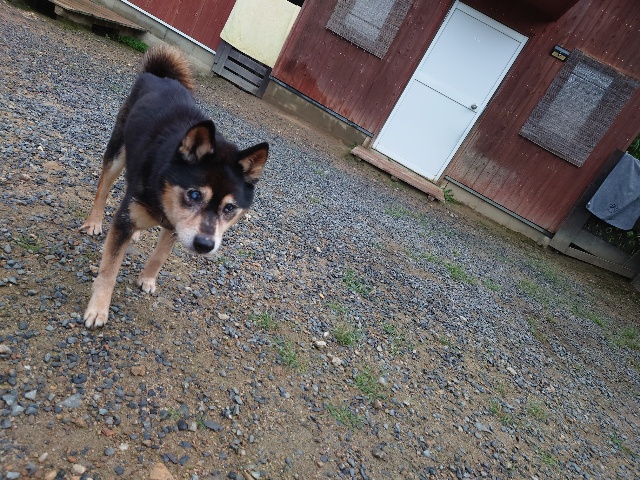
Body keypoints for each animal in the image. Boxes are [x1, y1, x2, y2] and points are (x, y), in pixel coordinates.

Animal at [80, 45, 269, 328]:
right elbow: (109, 269)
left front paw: (147, 279)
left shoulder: (177, 226)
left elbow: (159, 256)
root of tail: (160, 77)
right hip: (118, 152)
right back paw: (95, 222)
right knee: (103, 188)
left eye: (230, 208)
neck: (163, 191)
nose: (204, 245)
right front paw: (98, 309)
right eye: (194, 194)